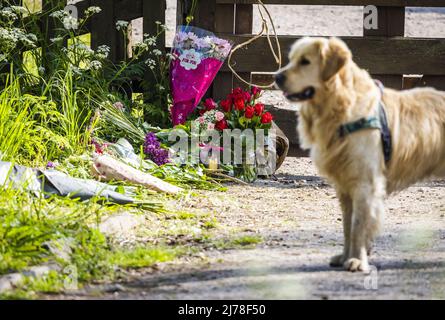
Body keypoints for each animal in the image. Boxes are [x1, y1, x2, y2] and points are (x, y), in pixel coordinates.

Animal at [274, 37, 444, 272]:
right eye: (291, 59)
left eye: (305, 61)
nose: (276, 77)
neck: (341, 106)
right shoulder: (344, 187)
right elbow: (347, 226)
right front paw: (345, 256)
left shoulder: (366, 183)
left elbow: (358, 226)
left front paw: (357, 260)